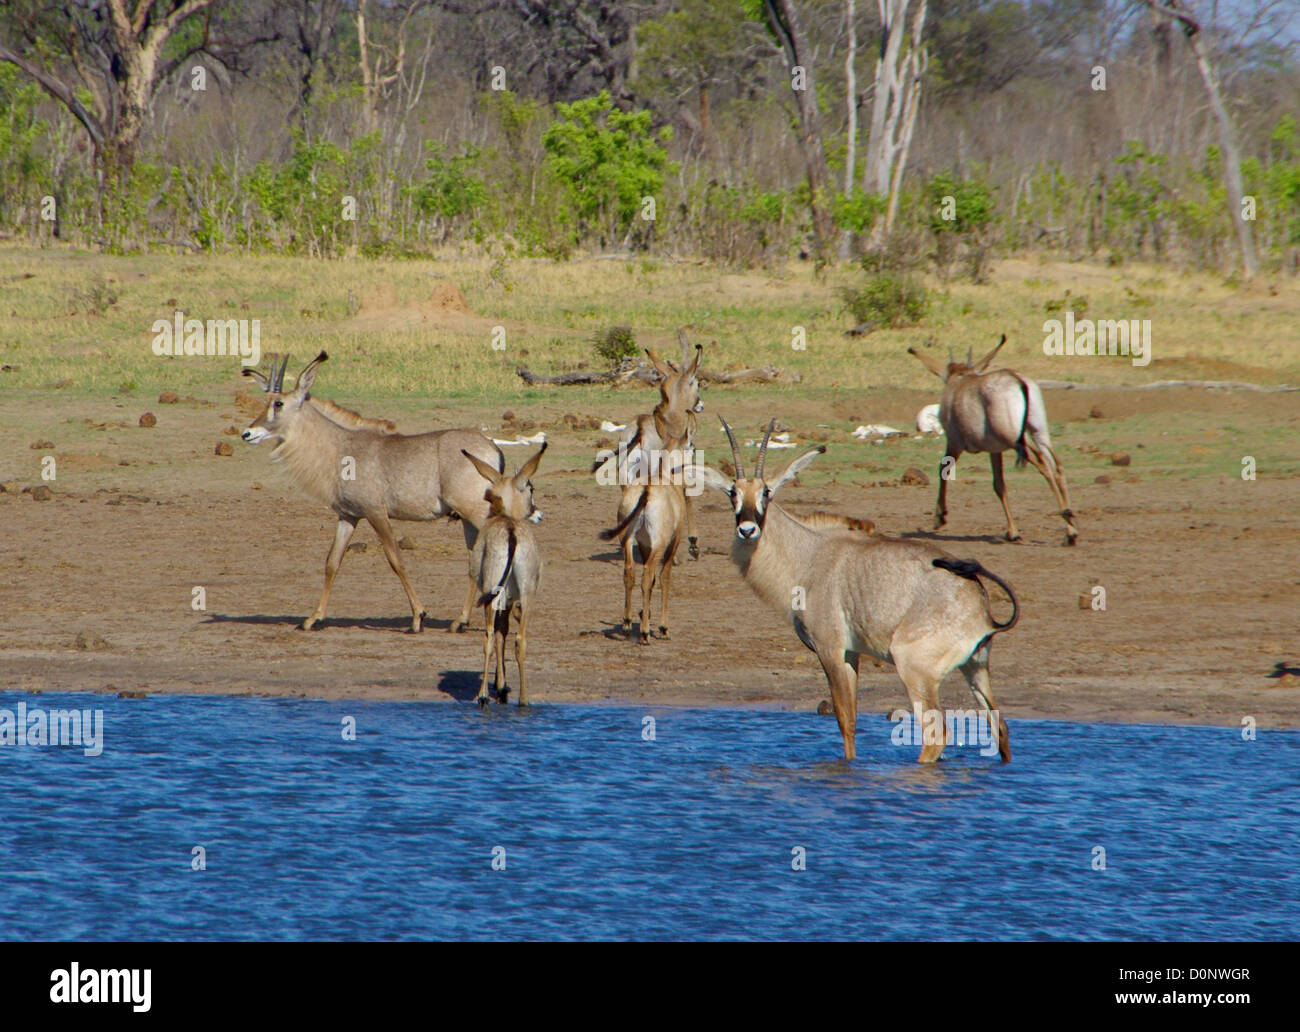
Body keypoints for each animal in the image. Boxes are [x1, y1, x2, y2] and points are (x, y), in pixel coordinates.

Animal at [241, 350, 504, 631]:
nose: (247, 433)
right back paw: (460, 621)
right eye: (266, 401)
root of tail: (493, 448)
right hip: (466, 518)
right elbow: (332, 562)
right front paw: (313, 618)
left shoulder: (376, 512)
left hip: (475, 513)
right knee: (476, 559)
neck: (341, 447)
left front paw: (418, 616)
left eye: (278, 404)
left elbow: (396, 559)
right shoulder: (348, 516)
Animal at [460, 439, 546, 701]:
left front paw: (499, 685)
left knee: (488, 636)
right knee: (521, 640)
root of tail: (511, 532)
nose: (539, 514)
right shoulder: (510, 600)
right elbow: (505, 632)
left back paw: (483, 696)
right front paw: (503, 684)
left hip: (491, 595)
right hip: (527, 596)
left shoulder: (500, 599)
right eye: (531, 489)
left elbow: (498, 633)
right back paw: (523, 699)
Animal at [696, 413, 1019, 759]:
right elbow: (850, 722)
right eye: (732, 492)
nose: (747, 529)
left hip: (915, 670)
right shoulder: (852, 653)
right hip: (976, 670)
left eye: (766, 492)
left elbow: (843, 718)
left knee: (936, 733)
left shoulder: (830, 649)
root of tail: (980, 603)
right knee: (1000, 726)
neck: (808, 554)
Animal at [904, 337, 1076, 545]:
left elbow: (943, 469)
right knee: (1056, 465)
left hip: (1016, 439)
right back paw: (1070, 530)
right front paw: (1012, 531)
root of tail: (1018, 380)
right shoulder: (996, 450)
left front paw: (939, 517)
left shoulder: (954, 443)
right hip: (1038, 432)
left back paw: (1066, 518)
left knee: (1044, 465)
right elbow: (999, 484)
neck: (960, 379)